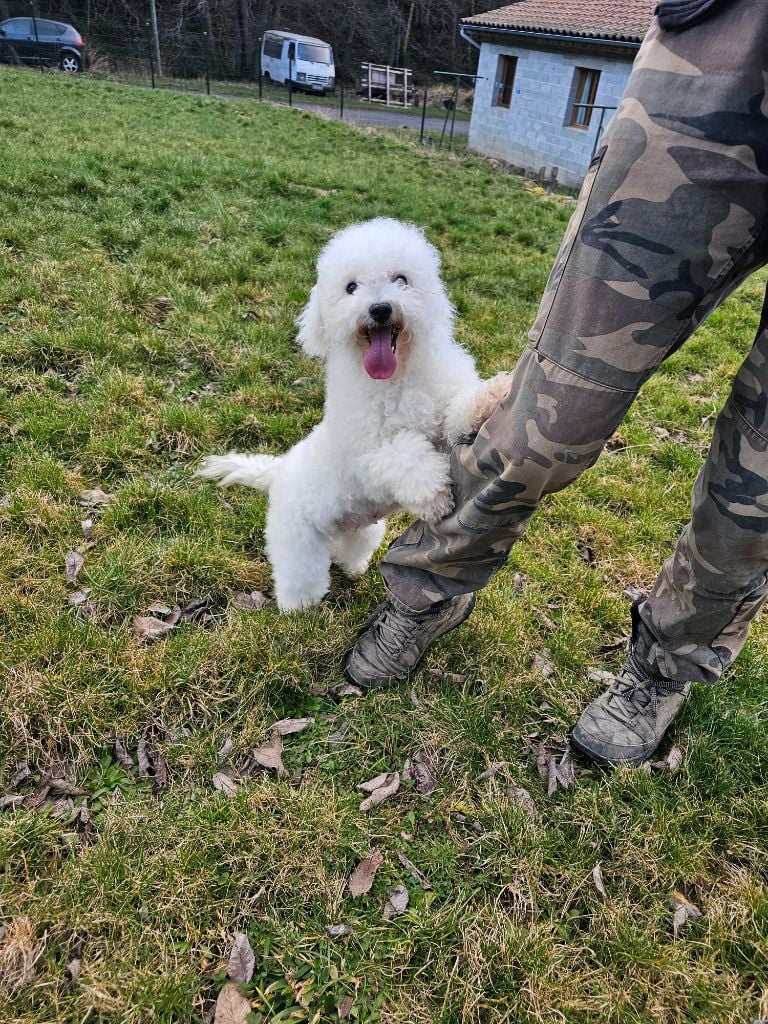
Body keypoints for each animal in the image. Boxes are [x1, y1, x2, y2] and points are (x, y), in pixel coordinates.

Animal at [198, 218, 512, 606]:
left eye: (401, 279)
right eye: (351, 287)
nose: (380, 309)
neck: (398, 377)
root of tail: (279, 470)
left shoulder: (441, 417)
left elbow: (458, 411)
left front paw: (492, 394)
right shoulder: (368, 453)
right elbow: (404, 455)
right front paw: (434, 497)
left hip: (361, 528)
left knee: (351, 546)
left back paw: (353, 568)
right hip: (296, 539)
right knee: (299, 574)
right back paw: (298, 607)